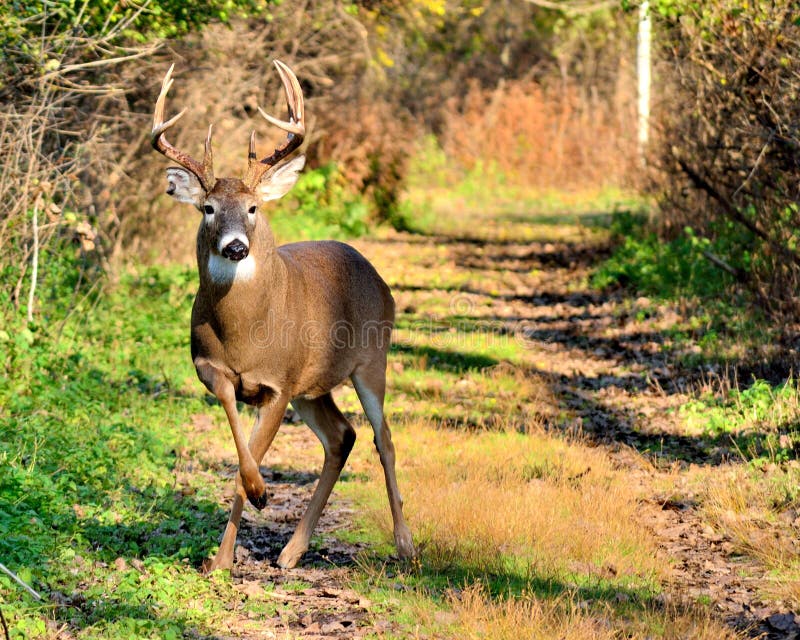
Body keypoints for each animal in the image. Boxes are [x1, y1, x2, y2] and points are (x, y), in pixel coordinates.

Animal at [150, 61, 415, 571]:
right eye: (208, 208)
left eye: (254, 207)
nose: (236, 246)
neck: (244, 334)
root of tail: (377, 275)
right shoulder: (219, 372)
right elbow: (241, 451)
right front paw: (222, 556)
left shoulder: (278, 381)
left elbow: (246, 463)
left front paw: (255, 499)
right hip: (312, 387)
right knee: (342, 436)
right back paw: (292, 551)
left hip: (371, 360)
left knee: (385, 439)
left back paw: (405, 545)